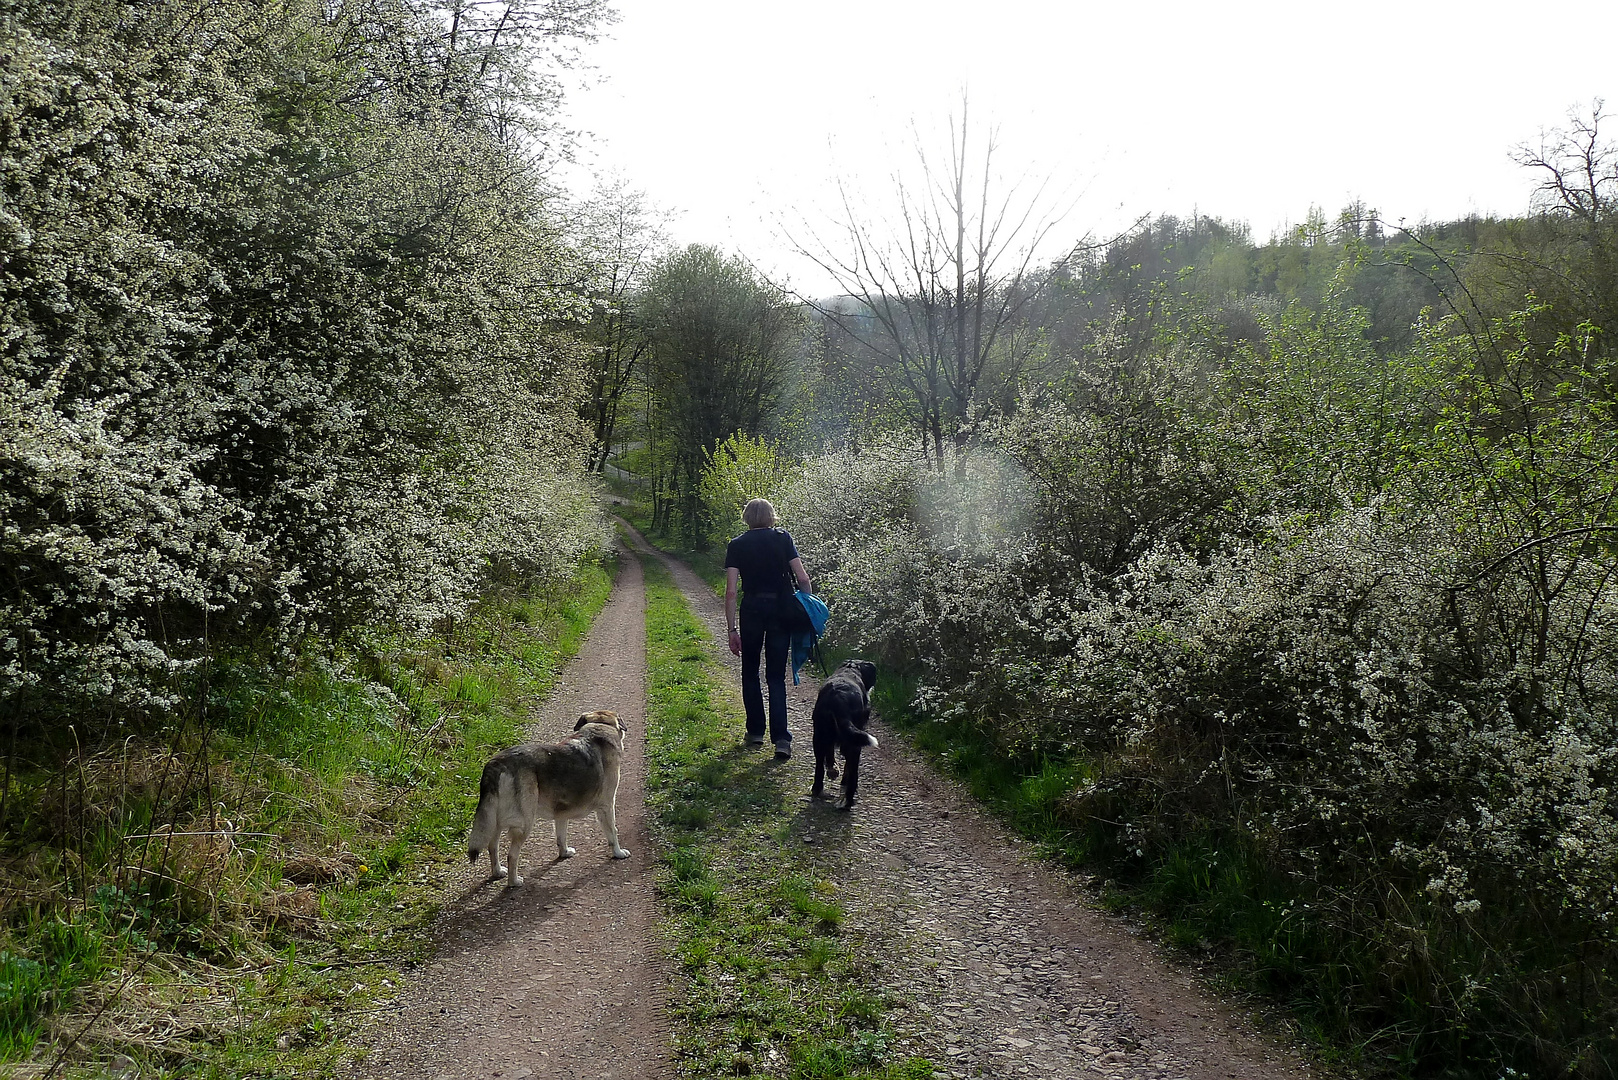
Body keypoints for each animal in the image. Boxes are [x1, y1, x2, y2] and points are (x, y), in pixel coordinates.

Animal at [805, 663, 880, 806]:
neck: (851, 668)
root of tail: (838, 698)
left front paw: (833, 770)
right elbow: (848, 768)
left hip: (818, 736)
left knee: (819, 766)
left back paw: (817, 788)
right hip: (854, 745)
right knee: (853, 773)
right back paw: (847, 801)